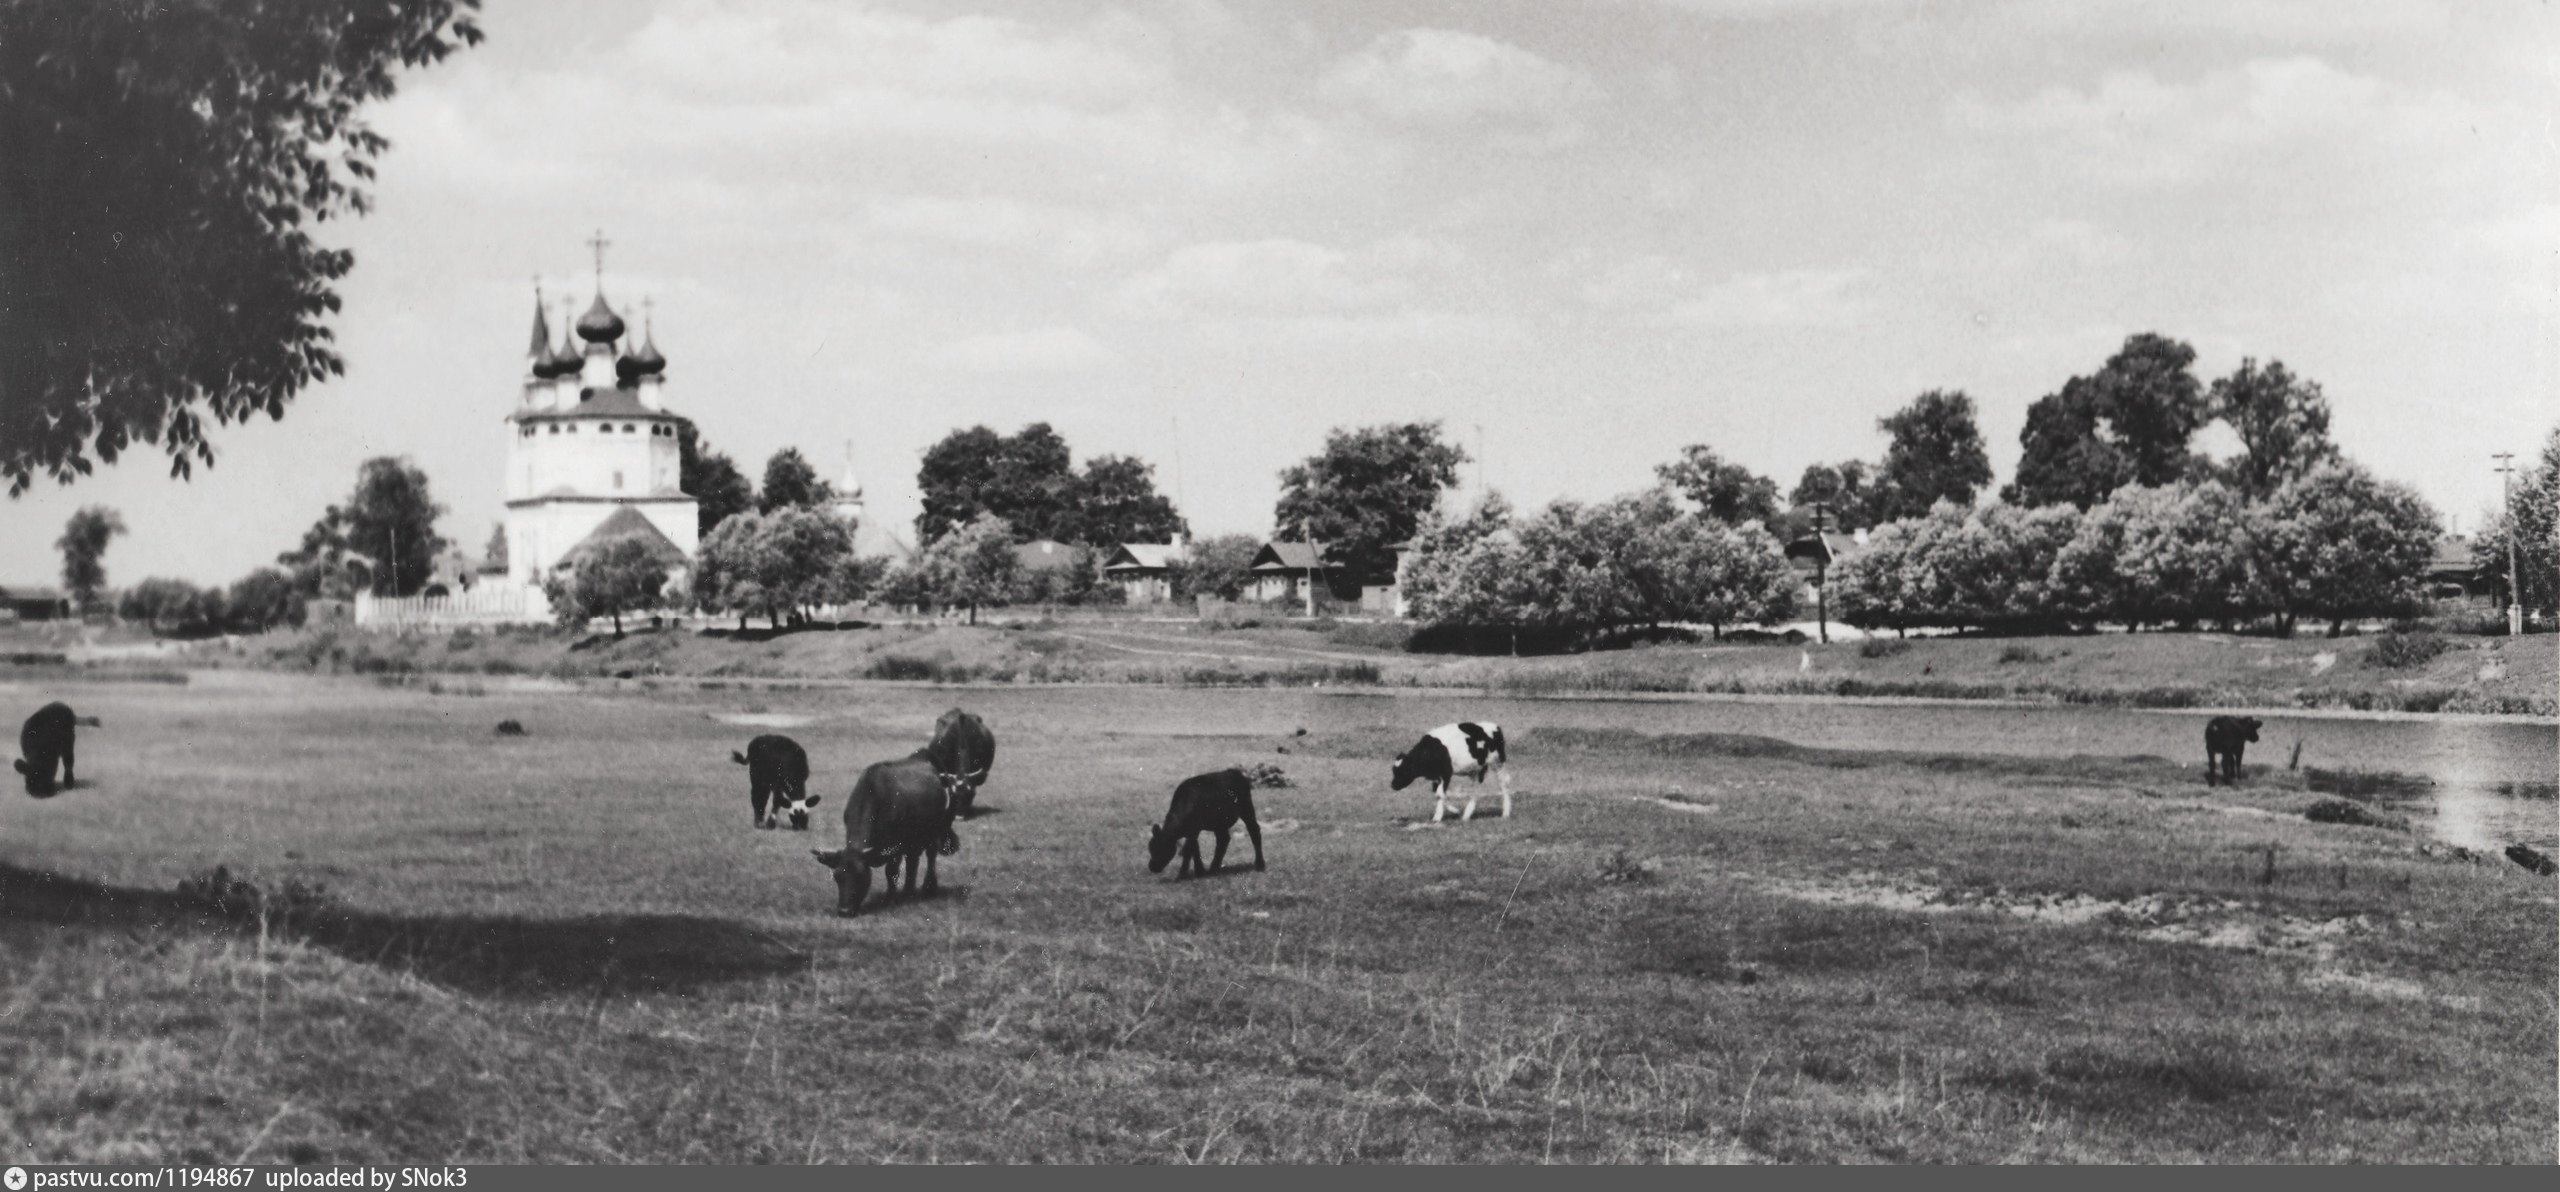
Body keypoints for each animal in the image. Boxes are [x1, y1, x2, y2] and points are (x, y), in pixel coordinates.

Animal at [808, 757, 952, 915]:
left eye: (860, 876)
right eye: (837, 876)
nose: (844, 911)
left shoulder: (895, 845)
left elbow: (891, 871)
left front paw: (889, 898)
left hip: (934, 829)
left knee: (931, 855)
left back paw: (929, 888)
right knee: (913, 860)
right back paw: (908, 891)